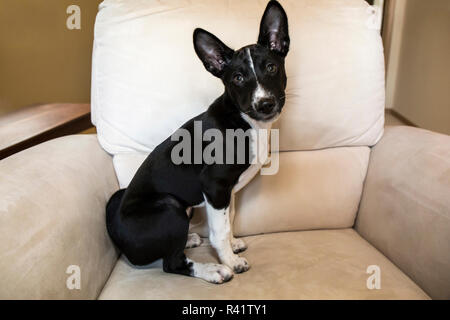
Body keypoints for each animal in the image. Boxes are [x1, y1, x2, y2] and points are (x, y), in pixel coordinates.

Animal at [106, 1, 290, 284]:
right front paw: (230, 260)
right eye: (237, 78)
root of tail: (120, 238)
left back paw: (190, 240)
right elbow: (219, 230)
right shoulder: (214, 184)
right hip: (170, 207)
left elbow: (229, 218)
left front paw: (233, 244)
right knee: (171, 263)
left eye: (271, 67)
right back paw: (212, 270)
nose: (265, 104)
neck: (245, 121)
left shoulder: (226, 192)